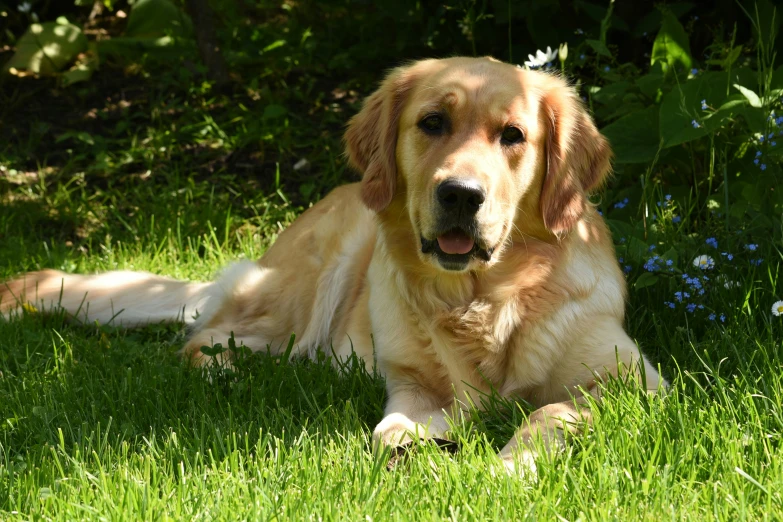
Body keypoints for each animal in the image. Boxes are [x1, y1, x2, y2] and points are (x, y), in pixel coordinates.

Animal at [0, 57, 664, 472]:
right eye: (432, 123)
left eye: (513, 135)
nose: (460, 195)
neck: (482, 296)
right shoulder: (413, 386)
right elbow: (395, 426)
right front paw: (405, 450)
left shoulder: (639, 387)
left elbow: (553, 410)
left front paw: (511, 464)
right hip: (323, 269)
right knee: (208, 340)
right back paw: (242, 372)